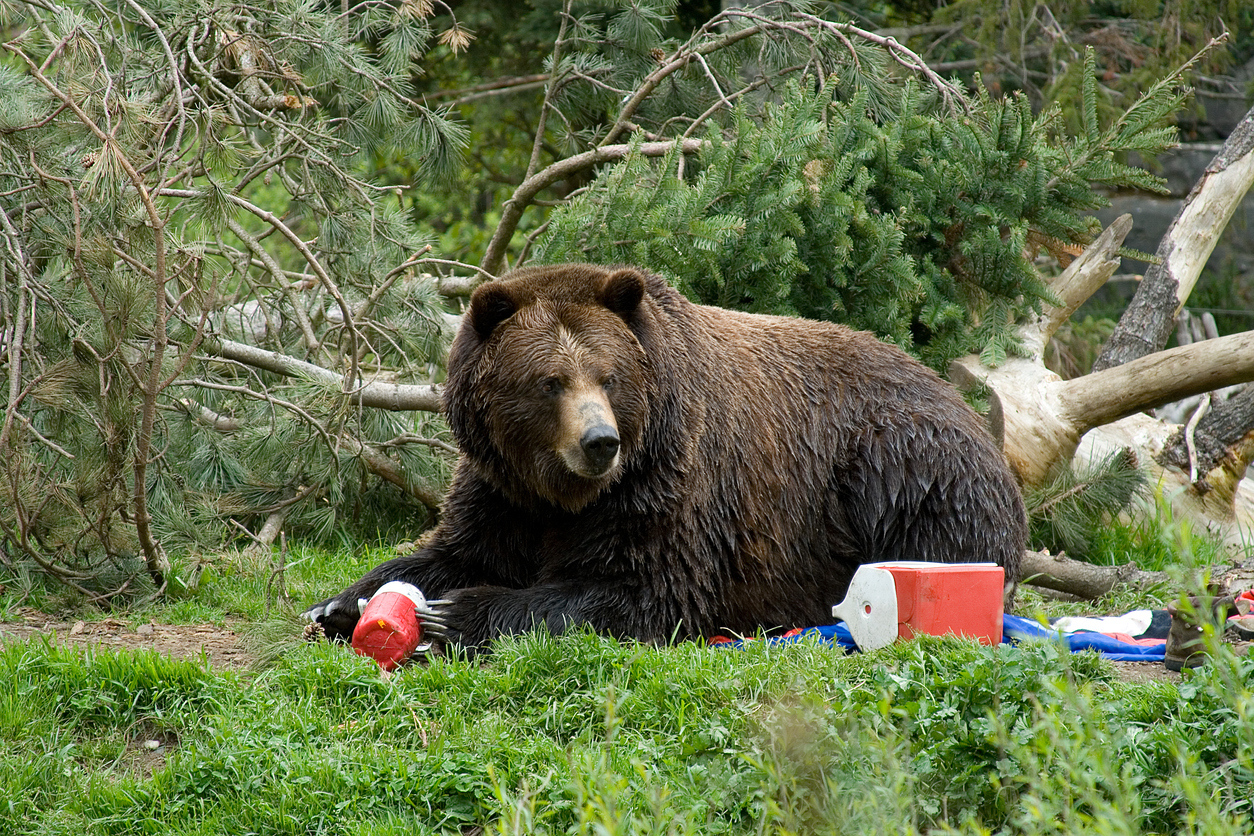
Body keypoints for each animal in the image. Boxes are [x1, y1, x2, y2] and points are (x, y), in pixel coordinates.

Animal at [305, 264, 1028, 651]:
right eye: (549, 381)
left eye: (608, 375)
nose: (599, 442)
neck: (563, 493)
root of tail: (969, 412)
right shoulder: (501, 489)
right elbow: (453, 547)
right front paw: (341, 605)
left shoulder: (668, 481)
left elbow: (643, 588)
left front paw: (458, 613)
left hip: (899, 471)